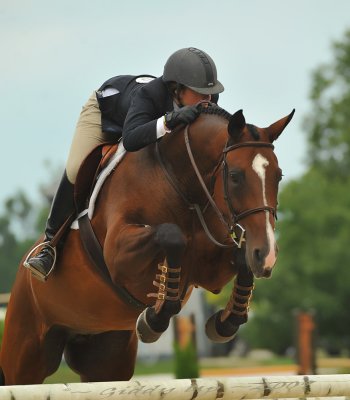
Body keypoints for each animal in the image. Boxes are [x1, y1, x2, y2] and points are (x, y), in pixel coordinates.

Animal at [1, 105, 294, 384]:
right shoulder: (119, 256)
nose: (267, 255)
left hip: (107, 357)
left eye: (278, 176)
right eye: (235, 175)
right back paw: (43, 259)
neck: (184, 186)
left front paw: (226, 322)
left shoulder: (209, 269)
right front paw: (153, 319)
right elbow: (171, 236)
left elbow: (239, 258)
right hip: (25, 357)